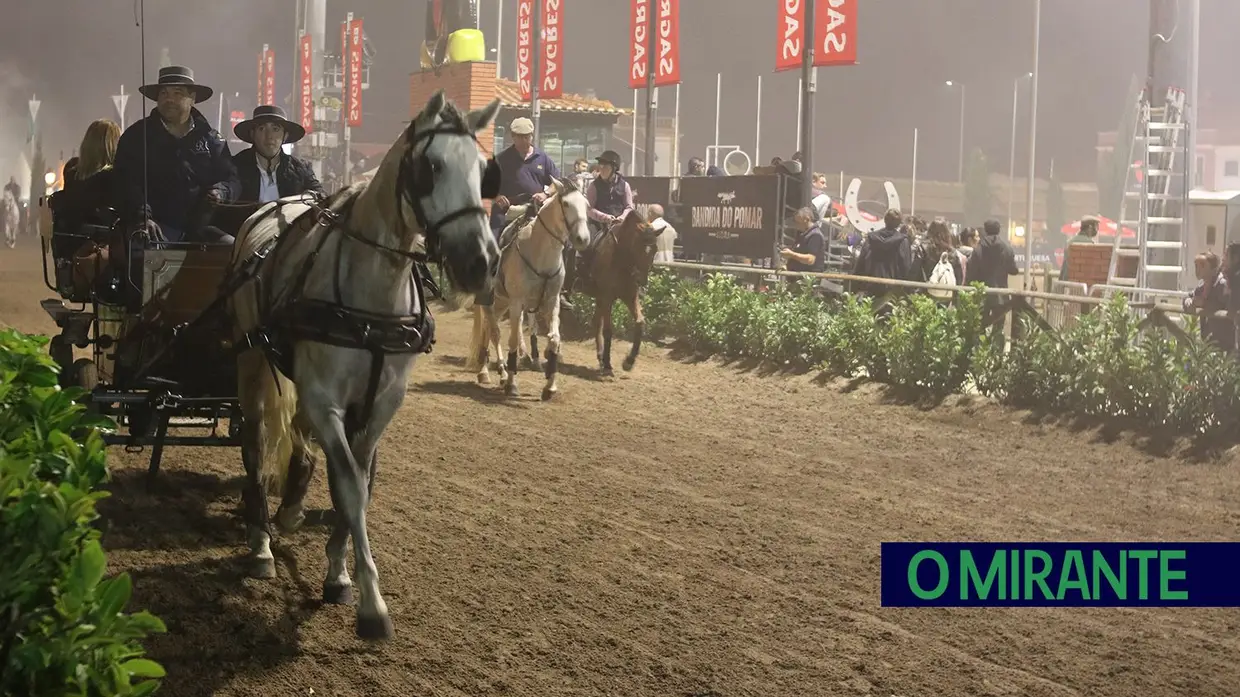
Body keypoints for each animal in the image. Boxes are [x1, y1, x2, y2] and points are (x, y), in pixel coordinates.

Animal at [225, 89, 500, 639]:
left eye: (484, 169)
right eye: (431, 167)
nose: (480, 262)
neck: (372, 295)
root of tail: (273, 209)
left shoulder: (380, 404)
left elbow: (357, 483)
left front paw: (338, 573)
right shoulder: (325, 399)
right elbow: (350, 487)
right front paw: (372, 605)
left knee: (301, 448)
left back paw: (290, 512)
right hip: (252, 362)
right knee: (257, 442)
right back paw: (261, 540)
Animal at [468, 176, 595, 399]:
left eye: (586, 205)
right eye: (566, 204)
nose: (583, 239)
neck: (540, 253)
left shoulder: (552, 302)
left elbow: (554, 339)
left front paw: (550, 386)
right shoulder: (517, 302)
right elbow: (512, 339)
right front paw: (512, 383)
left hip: (502, 302)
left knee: (487, 330)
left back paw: (490, 371)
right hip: (490, 301)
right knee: (493, 331)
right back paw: (494, 372)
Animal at [575, 208, 664, 374]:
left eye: (655, 249)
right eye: (638, 246)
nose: (641, 280)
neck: (620, 259)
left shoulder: (629, 296)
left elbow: (640, 322)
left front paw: (628, 361)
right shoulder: (607, 298)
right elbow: (608, 330)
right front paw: (608, 363)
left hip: (599, 299)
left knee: (596, 322)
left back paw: (600, 357)